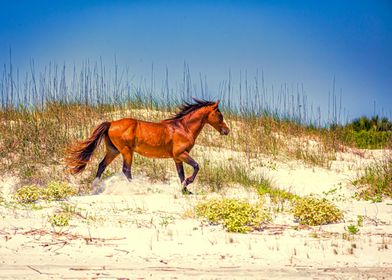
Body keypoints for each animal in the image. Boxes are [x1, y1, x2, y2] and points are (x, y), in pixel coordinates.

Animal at [64, 99, 230, 195]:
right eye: (220, 114)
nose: (226, 131)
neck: (183, 128)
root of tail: (111, 123)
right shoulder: (181, 154)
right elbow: (196, 166)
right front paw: (187, 183)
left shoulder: (177, 158)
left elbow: (181, 174)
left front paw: (184, 190)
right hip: (126, 151)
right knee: (126, 170)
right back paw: (136, 188)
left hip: (113, 151)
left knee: (101, 165)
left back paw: (94, 187)